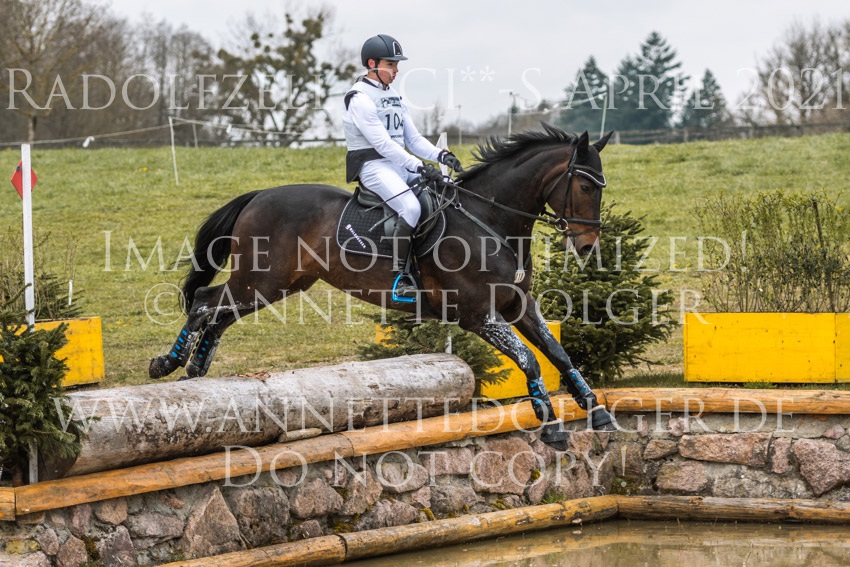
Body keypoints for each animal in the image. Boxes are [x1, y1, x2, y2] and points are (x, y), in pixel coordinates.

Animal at [149, 123, 617, 450]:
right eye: (584, 185)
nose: (587, 246)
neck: (491, 221)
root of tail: (259, 195)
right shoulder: (477, 315)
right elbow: (530, 360)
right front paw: (551, 426)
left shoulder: (518, 304)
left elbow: (557, 353)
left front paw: (597, 412)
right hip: (260, 279)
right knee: (206, 301)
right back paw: (168, 364)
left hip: (280, 285)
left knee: (220, 313)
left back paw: (195, 369)